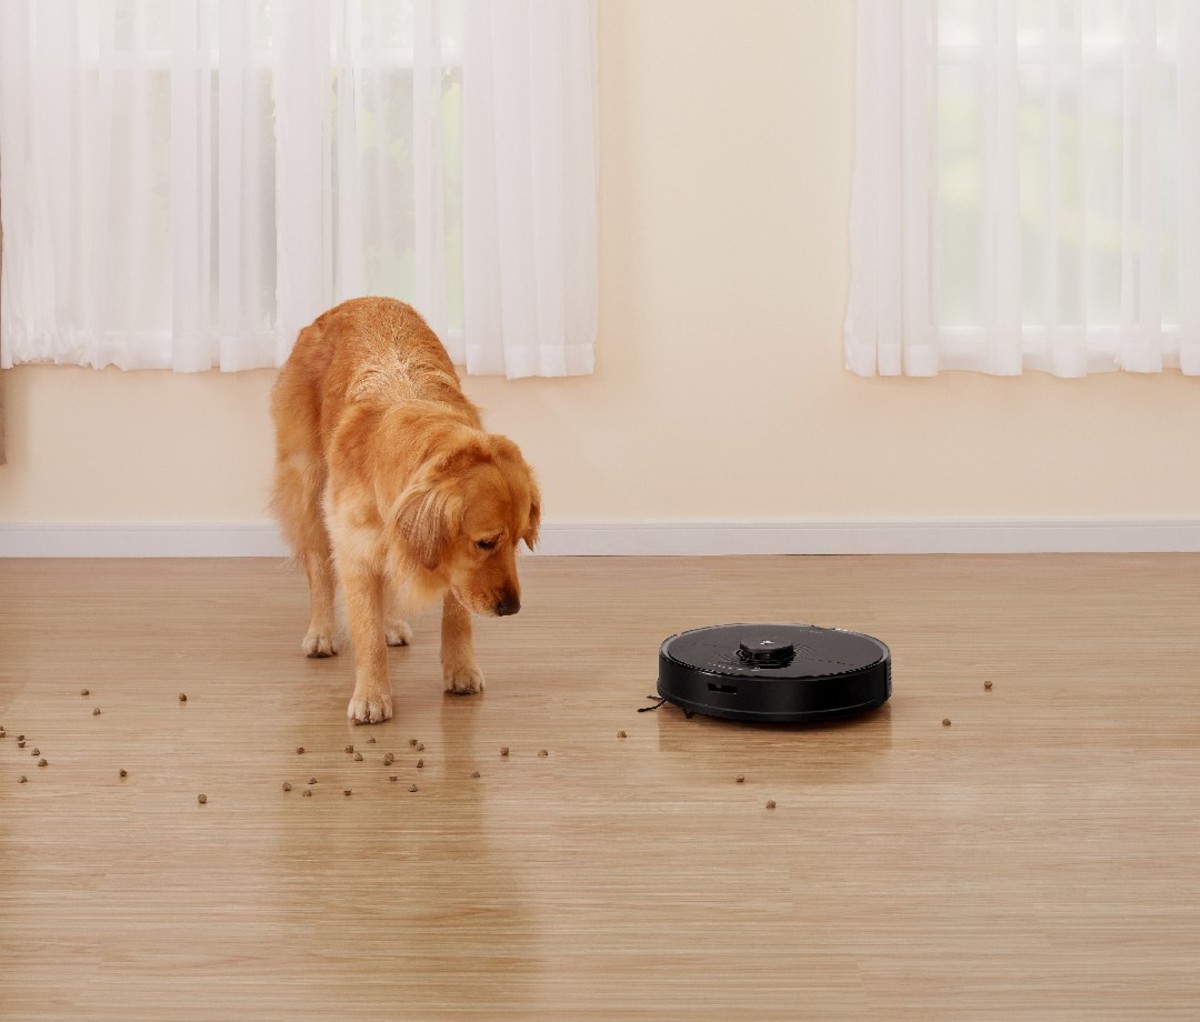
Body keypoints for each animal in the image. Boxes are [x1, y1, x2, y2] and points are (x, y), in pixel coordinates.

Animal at [274, 299, 542, 724]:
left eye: (517, 542)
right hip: (307, 483)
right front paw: (372, 696)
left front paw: (461, 670)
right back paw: (321, 632)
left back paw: (393, 624)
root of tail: (356, 301)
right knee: (318, 566)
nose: (511, 608)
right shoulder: (355, 551)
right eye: (486, 543)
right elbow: (365, 629)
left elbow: (457, 615)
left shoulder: (443, 558)